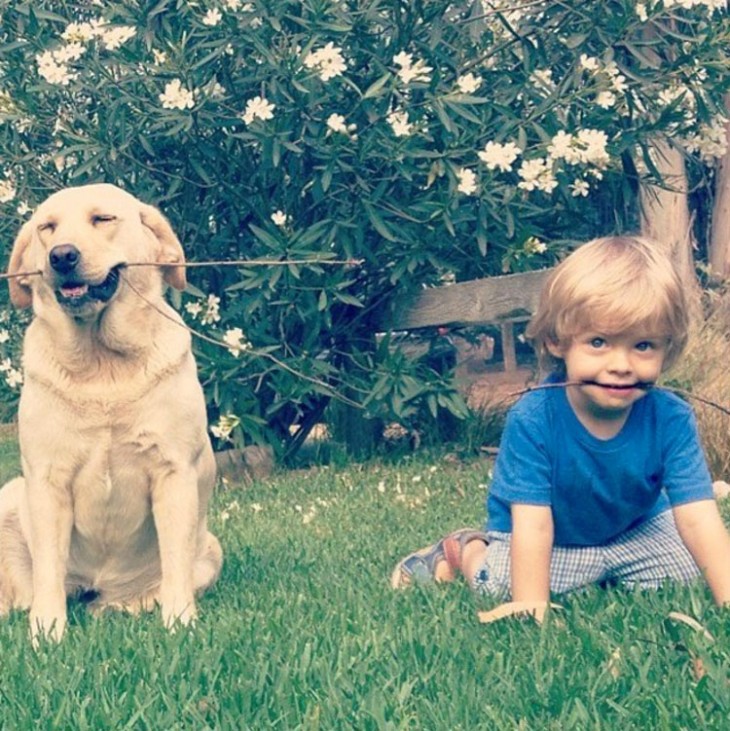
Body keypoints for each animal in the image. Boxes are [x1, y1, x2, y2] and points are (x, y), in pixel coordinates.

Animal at [0, 183, 222, 640]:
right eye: (47, 228)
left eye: (102, 219)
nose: (62, 256)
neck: (102, 367)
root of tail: (95, 588)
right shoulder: (47, 480)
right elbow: (48, 571)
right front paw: (46, 634)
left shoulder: (173, 472)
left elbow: (176, 565)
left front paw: (179, 623)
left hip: (211, 550)